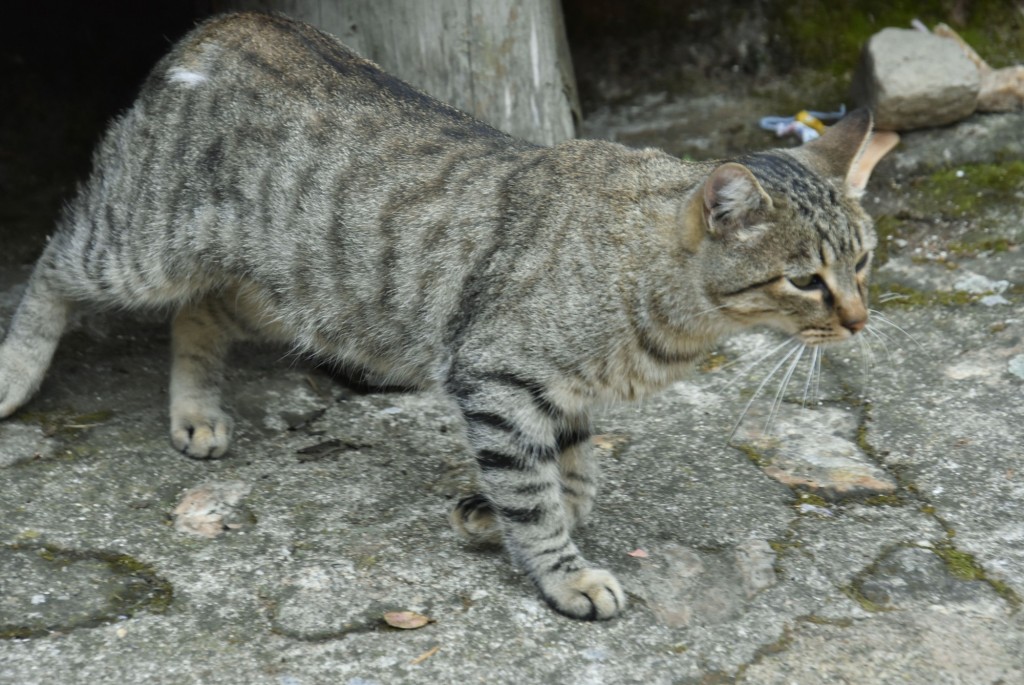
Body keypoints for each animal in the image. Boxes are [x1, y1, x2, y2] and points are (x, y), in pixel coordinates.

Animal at [0, 12, 897, 618]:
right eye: (806, 281)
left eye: (861, 261)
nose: (859, 321)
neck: (663, 313)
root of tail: (226, 23)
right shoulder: (500, 378)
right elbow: (534, 495)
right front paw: (564, 571)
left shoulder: (565, 394)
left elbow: (570, 475)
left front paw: (504, 515)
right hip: (138, 247)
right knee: (55, 261)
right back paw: (16, 371)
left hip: (286, 289)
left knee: (200, 315)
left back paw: (196, 410)